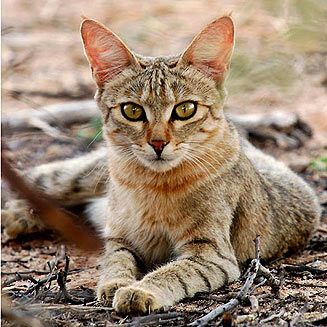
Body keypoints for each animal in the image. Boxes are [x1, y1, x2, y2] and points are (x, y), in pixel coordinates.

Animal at [1, 16, 320, 316]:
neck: (153, 184)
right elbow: (115, 260)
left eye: (185, 109)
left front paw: (140, 290)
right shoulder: (120, 238)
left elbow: (174, 272)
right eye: (132, 111)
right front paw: (115, 283)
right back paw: (16, 215)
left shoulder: (212, 254)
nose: (158, 143)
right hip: (75, 179)